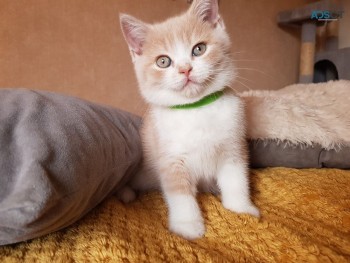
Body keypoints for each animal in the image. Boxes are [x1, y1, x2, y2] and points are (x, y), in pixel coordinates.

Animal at [120, 0, 260, 240]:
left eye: (199, 49)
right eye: (163, 61)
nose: (185, 69)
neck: (196, 108)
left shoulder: (233, 147)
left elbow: (236, 179)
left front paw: (241, 209)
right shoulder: (170, 157)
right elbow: (180, 194)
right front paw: (188, 226)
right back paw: (126, 193)